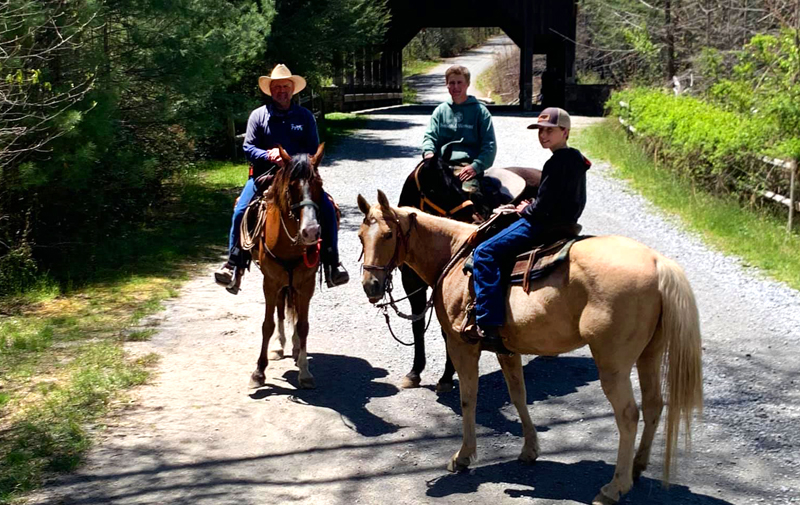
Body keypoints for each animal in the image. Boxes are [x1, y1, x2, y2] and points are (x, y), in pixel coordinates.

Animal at [248, 144, 326, 388]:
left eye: (319, 184)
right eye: (291, 186)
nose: (311, 231)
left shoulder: (306, 284)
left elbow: (303, 326)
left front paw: (304, 370)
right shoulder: (270, 283)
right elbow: (267, 324)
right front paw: (258, 372)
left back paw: (294, 346)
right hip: (281, 282)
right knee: (281, 310)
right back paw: (279, 346)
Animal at [356, 189, 700, 504]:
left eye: (388, 234)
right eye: (361, 236)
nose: (371, 286)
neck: (454, 255)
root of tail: (657, 263)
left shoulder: (461, 346)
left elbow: (468, 399)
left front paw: (463, 456)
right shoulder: (506, 349)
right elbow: (518, 396)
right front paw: (529, 450)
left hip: (613, 364)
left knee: (629, 415)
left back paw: (614, 488)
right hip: (649, 354)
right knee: (654, 404)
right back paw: (638, 468)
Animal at [396, 154, 540, 390]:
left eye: (457, 184)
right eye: (435, 189)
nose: (475, 219)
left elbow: (447, 331)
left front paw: (446, 377)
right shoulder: (412, 284)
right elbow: (417, 325)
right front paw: (415, 372)